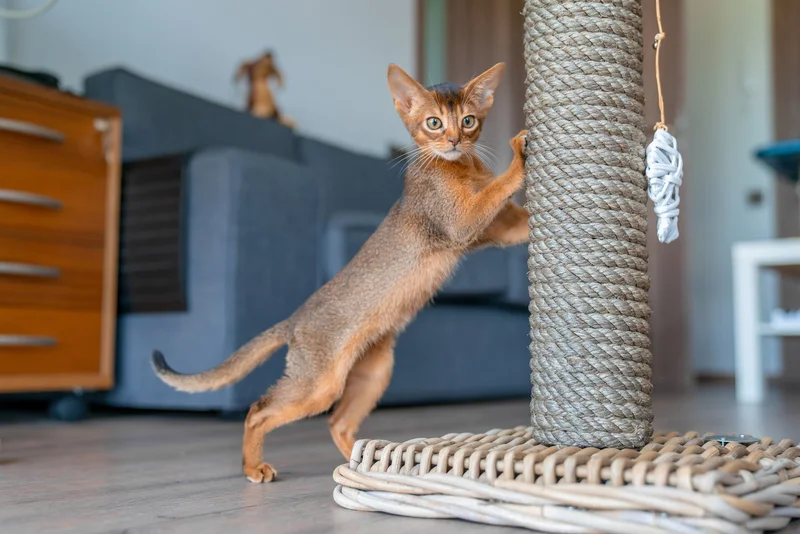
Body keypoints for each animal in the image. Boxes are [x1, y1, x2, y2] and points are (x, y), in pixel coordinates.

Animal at [152, 62, 529, 483]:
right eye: (433, 123)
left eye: (468, 121)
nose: (453, 141)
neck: (463, 165)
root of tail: (296, 319)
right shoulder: (460, 222)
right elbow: (495, 189)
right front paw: (519, 153)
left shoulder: (498, 229)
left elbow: (513, 212)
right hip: (318, 384)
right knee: (258, 410)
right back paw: (254, 467)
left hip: (373, 373)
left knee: (338, 422)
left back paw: (367, 467)